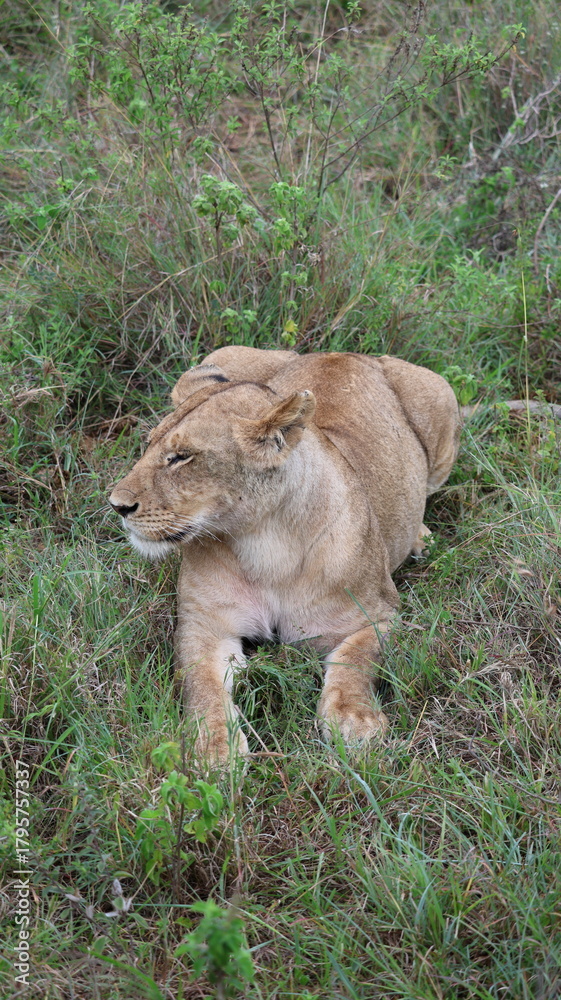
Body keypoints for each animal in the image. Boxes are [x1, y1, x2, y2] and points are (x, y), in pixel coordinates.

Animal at [109, 347, 460, 764]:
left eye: (181, 457)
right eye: (148, 446)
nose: (116, 505)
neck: (264, 545)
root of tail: (345, 353)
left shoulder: (379, 614)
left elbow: (356, 660)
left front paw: (354, 721)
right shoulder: (203, 625)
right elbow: (200, 684)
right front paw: (213, 750)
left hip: (441, 398)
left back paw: (422, 539)